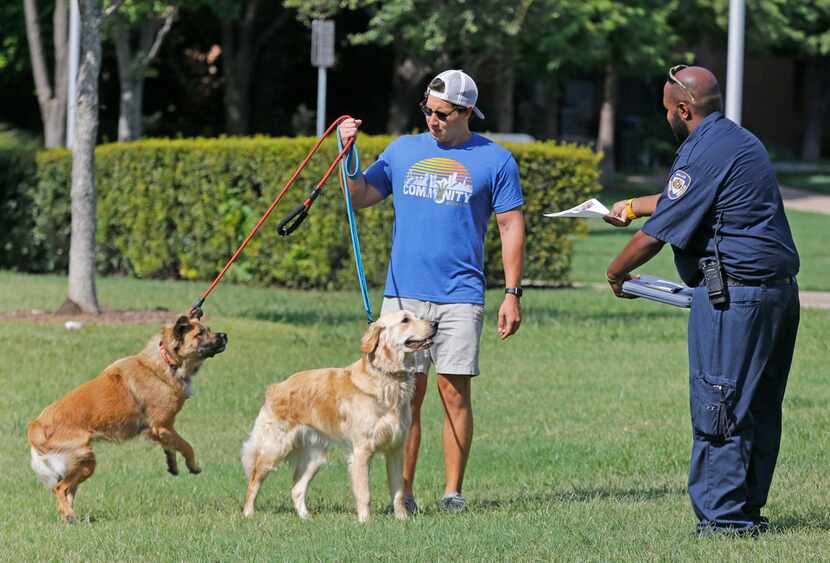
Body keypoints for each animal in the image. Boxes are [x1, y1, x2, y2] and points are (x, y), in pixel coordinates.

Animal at [28, 316, 228, 524]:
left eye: (209, 329)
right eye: (200, 334)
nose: (225, 335)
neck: (167, 361)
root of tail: (36, 427)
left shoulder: (162, 430)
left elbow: (171, 447)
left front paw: (172, 465)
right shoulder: (163, 426)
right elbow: (187, 446)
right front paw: (193, 466)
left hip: (81, 464)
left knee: (67, 491)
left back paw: (69, 517)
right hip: (86, 460)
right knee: (60, 488)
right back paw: (69, 516)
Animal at [240, 310, 436, 524]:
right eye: (405, 320)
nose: (435, 324)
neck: (388, 379)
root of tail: (275, 387)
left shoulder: (395, 449)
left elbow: (398, 490)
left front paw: (402, 519)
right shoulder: (361, 451)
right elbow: (365, 493)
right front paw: (365, 522)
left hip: (314, 457)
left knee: (296, 489)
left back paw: (306, 518)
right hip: (275, 448)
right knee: (254, 479)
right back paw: (248, 513)